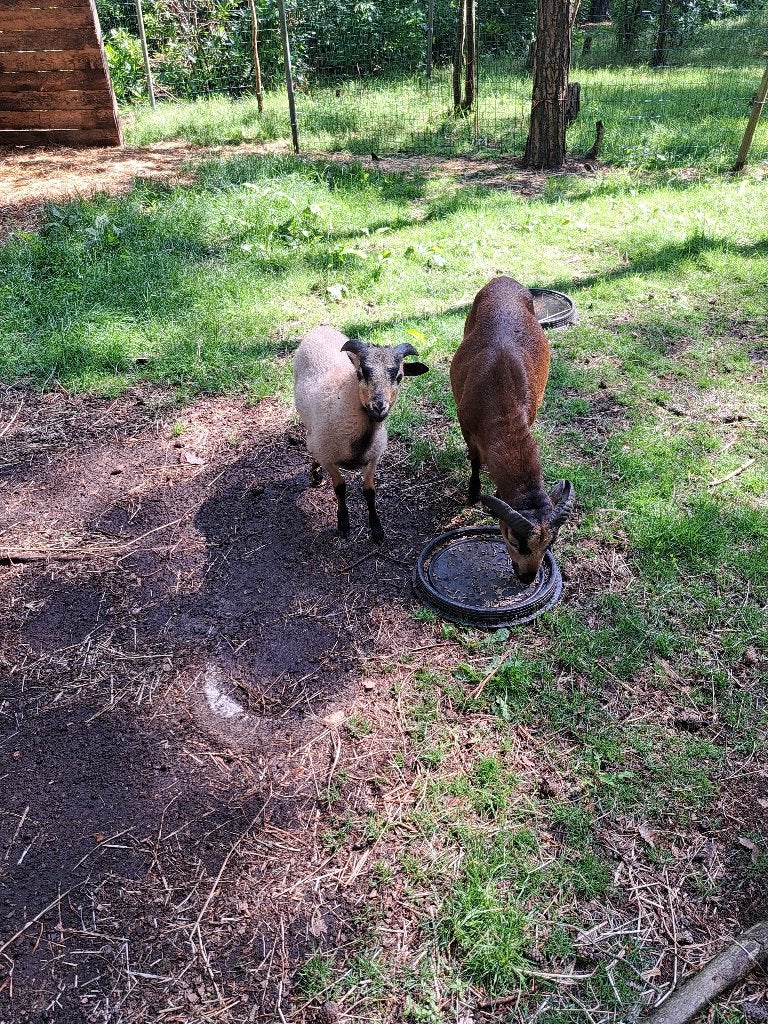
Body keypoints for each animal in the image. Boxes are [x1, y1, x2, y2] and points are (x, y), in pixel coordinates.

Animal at [293, 327, 428, 542]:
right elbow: (340, 488)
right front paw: (343, 523)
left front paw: (377, 529)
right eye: (360, 373)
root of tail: (322, 327)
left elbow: (369, 491)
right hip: (309, 423)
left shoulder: (374, 457)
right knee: (310, 442)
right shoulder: (328, 458)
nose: (379, 407)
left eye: (399, 377)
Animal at [450, 276, 575, 583]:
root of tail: (504, 279)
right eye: (515, 540)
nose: (528, 578)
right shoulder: (465, 424)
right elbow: (475, 460)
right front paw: (473, 494)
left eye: (551, 542)